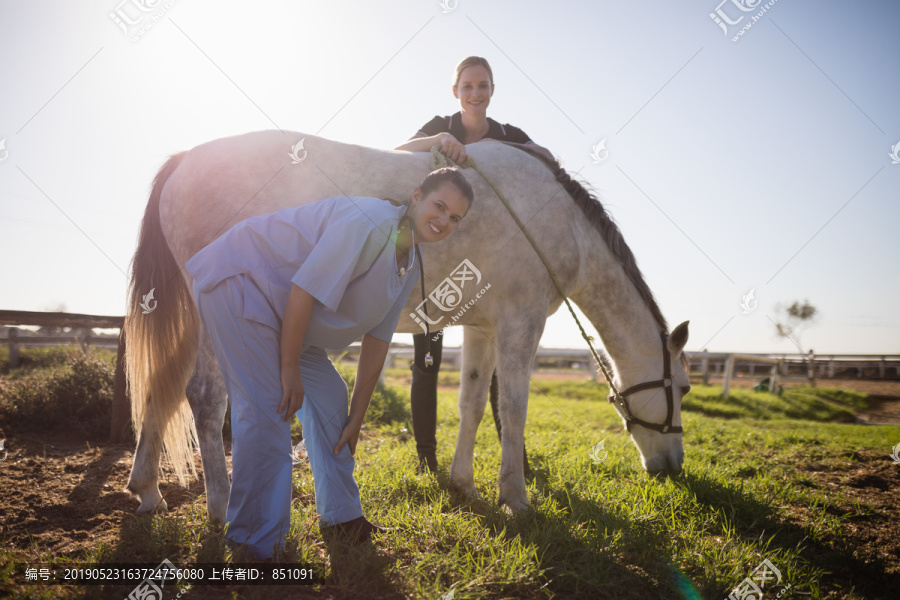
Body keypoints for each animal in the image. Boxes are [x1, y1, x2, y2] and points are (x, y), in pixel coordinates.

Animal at [125, 131, 688, 520]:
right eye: (681, 386)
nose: (674, 466)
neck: (558, 223)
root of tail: (184, 161)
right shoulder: (520, 324)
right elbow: (513, 408)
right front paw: (516, 498)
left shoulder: (481, 329)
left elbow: (472, 403)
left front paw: (464, 483)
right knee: (203, 398)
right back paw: (221, 506)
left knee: (162, 388)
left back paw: (147, 489)